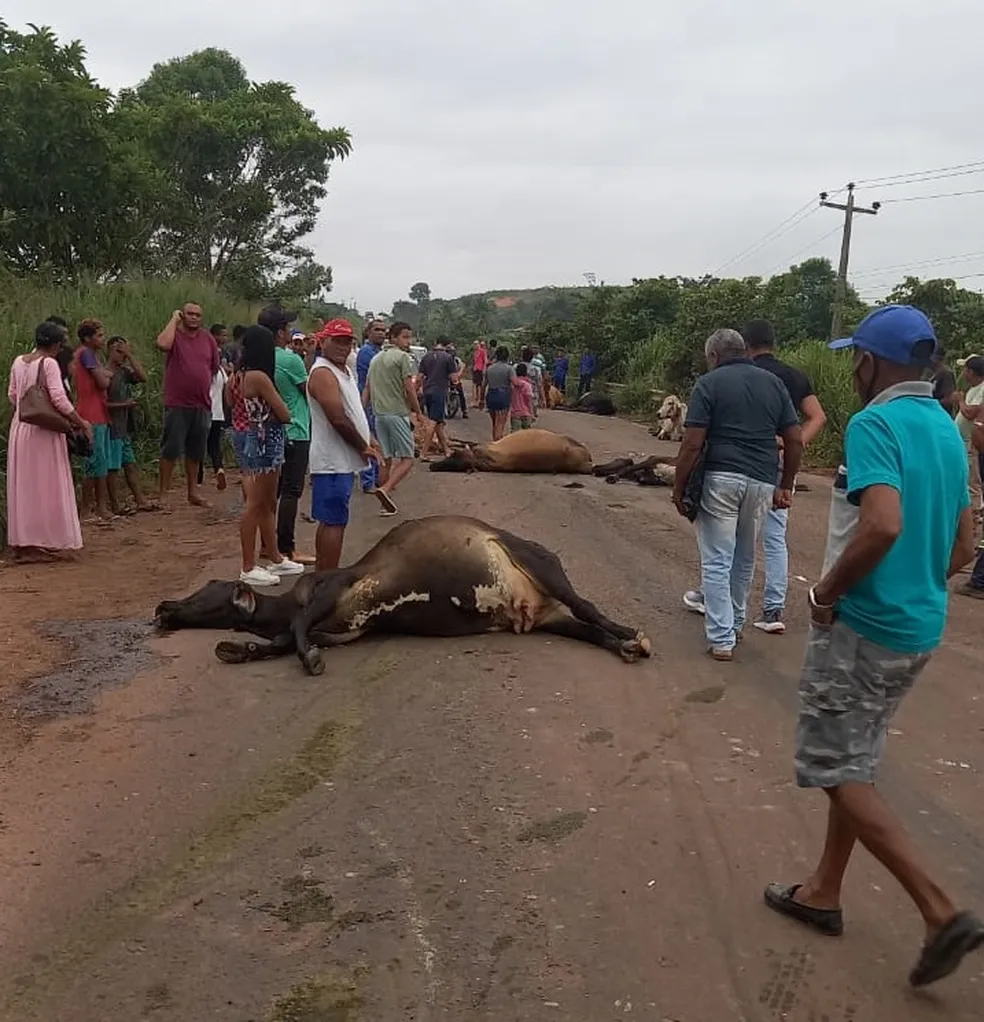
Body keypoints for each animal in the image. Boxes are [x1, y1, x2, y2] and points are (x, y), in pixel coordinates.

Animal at [154, 515, 649, 674]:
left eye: (205, 591)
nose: (164, 606)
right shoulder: (341, 630)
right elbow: (281, 640)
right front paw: (239, 649)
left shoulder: (331, 588)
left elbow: (295, 634)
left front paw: (308, 659)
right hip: (547, 618)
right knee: (585, 628)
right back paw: (622, 646)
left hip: (540, 564)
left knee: (588, 607)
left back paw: (633, 635)